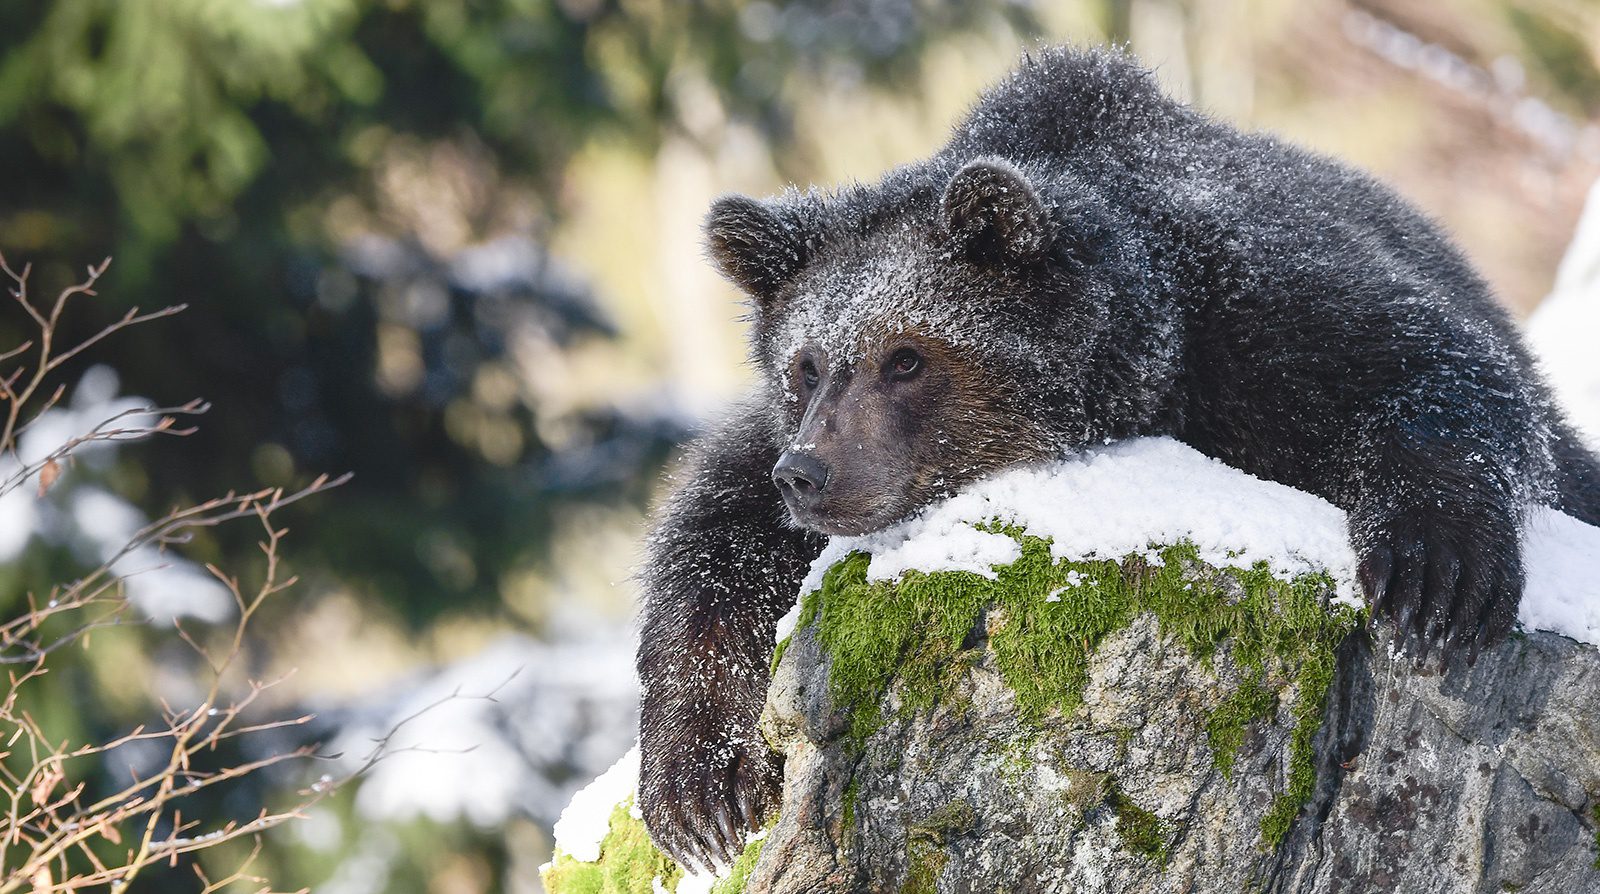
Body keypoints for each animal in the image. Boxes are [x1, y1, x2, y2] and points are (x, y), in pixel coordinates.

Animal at [634, 46, 1600, 870]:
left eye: (905, 356)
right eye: (804, 364)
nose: (809, 475)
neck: (1145, 369)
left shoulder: (1260, 322)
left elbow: (1430, 370)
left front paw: (1435, 580)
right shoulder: (774, 443)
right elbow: (714, 536)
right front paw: (702, 787)